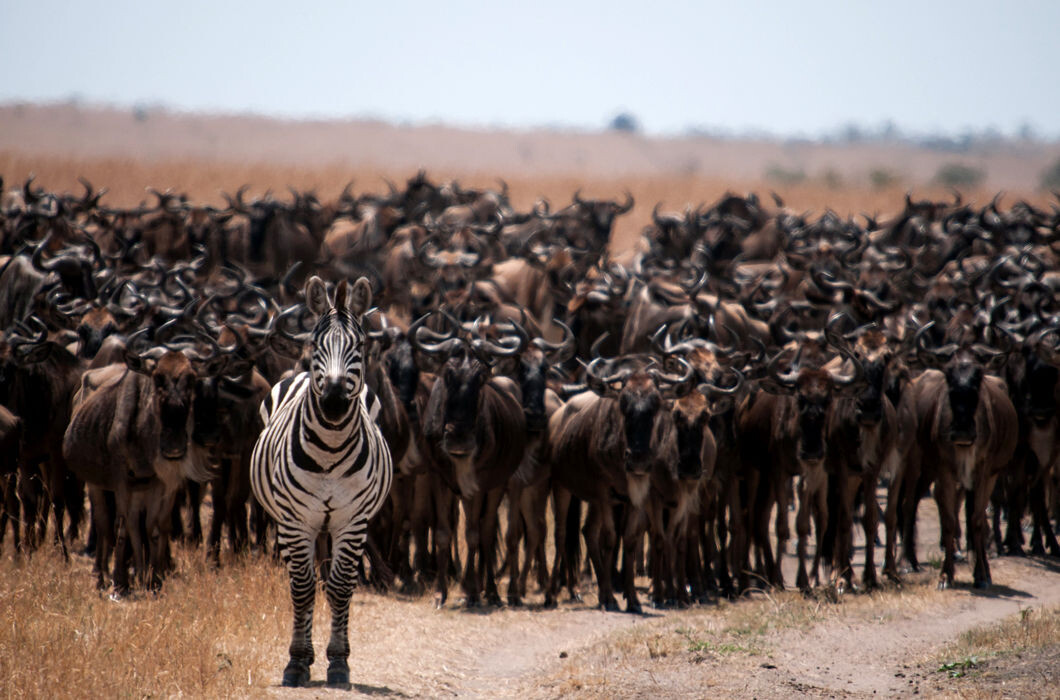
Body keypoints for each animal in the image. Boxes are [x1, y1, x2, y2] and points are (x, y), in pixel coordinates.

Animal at [251, 275, 394, 687]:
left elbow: (341, 587)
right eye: (317, 344)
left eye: (358, 345)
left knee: (328, 581)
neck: (330, 448)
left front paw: (339, 662)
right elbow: (301, 589)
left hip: (330, 524)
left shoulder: (352, 520)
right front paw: (298, 662)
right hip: (298, 522)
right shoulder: (296, 521)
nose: (332, 402)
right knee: (308, 580)